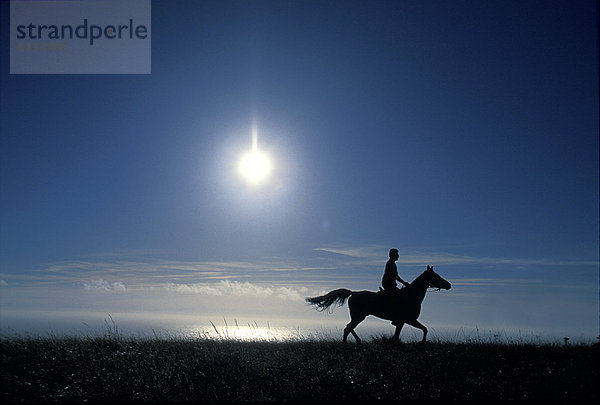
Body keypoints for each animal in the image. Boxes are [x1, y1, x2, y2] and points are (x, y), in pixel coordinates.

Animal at [304, 264, 450, 342]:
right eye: (436, 276)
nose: (449, 285)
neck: (411, 296)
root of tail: (353, 293)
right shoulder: (409, 320)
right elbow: (424, 329)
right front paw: (422, 342)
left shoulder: (402, 322)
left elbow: (398, 336)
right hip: (359, 316)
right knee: (348, 328)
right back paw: (346, 343)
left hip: (358, 316)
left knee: (348, 327)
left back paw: (357, 341)